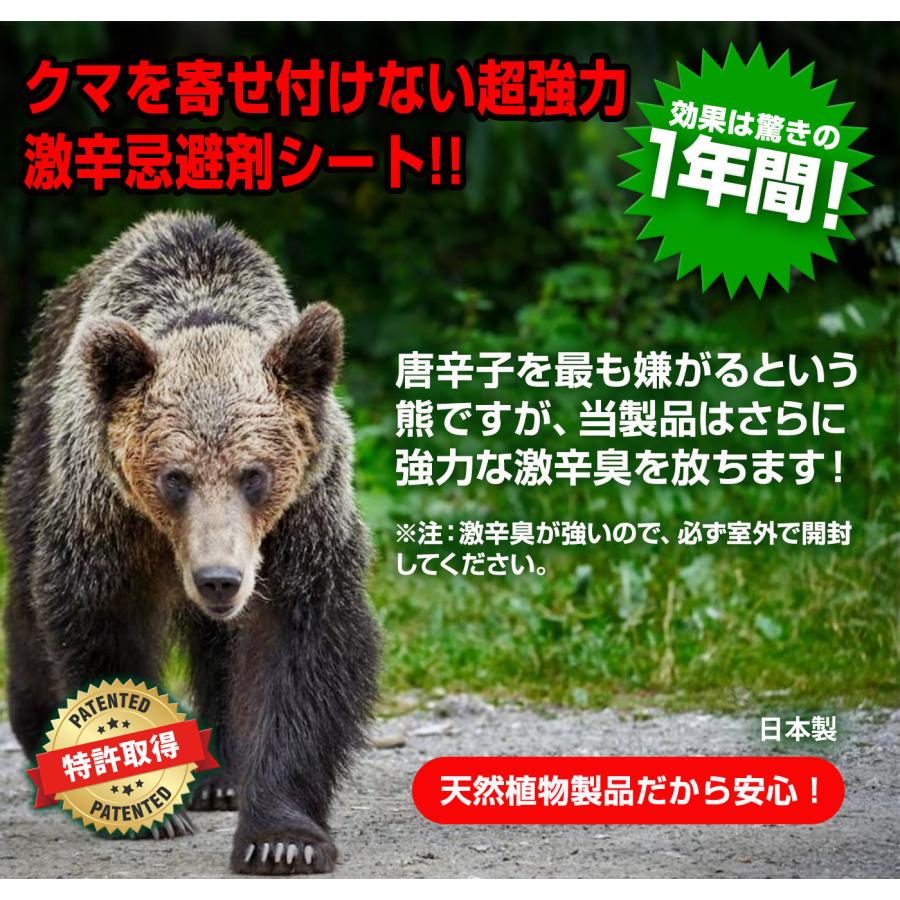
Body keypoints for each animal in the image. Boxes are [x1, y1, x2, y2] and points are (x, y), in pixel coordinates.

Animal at [2, 211, 380, 874]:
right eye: (174, 477)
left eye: (254, 474)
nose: (219, 579)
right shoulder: (107, 516)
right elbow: (101, 623)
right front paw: (144, 807)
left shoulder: (301, 522)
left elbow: (299, 651)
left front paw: (281, 838)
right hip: (37, 445)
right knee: (27, 597)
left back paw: (222, 777)